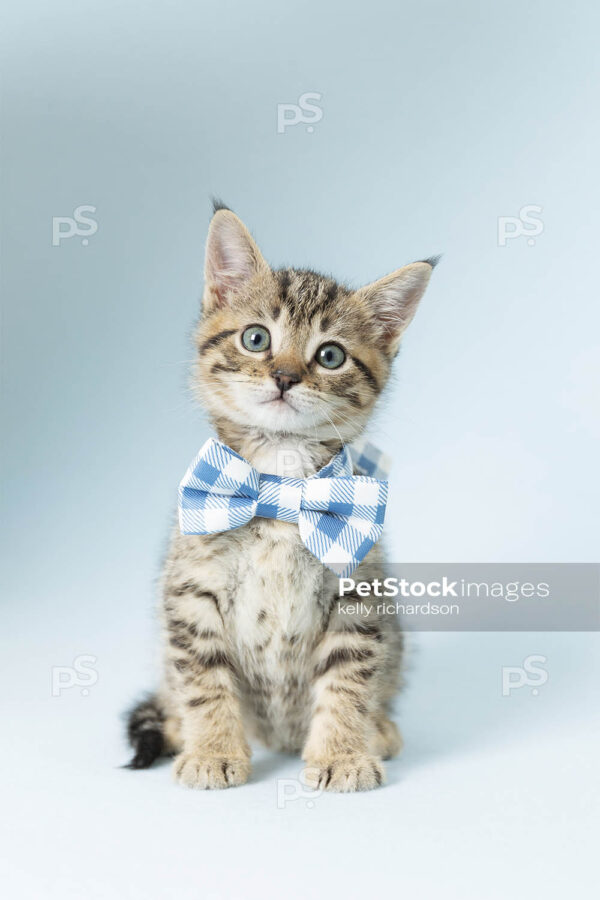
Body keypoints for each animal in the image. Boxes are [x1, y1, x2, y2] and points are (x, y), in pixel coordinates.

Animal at [126, 202, 436, 788]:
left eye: (331, 355)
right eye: (256, 338)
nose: (286, 377)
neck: (279, 485)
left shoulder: (356, 592)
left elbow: (348, 680)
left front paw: (341, 754)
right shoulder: (191, 590)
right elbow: (203, 679)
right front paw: (213, 750)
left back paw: (377, 730)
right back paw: (182, 730)